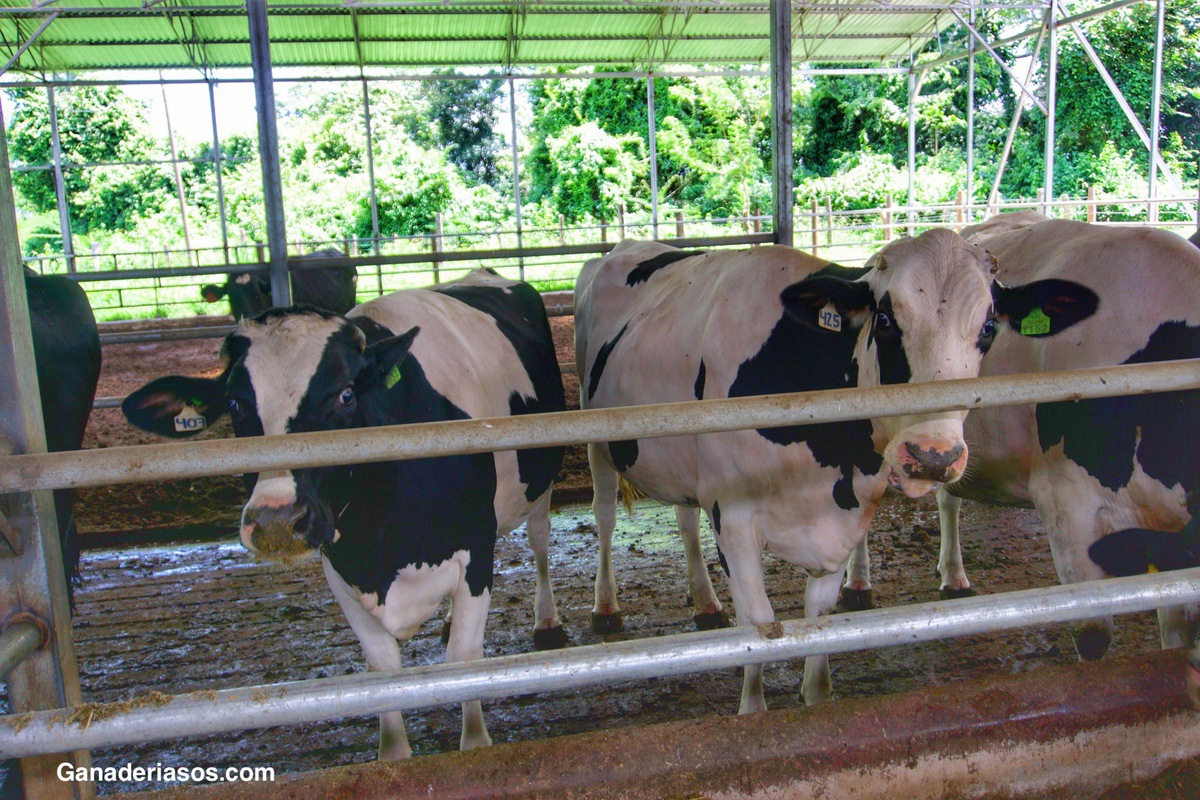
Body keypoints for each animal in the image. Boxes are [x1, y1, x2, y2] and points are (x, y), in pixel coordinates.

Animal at [122, 268, 568, 759]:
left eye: (347, 395)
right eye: (236, 405)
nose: (278, 521)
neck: (381, 541)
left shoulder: (475, 549)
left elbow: (465, 662)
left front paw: (475, 741)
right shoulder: (340, 567)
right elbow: (382, 669)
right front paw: (393, 754)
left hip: (541, 482)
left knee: (540, 541)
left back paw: (547, 620)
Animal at [574, 235, 1097, 714]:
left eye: (988, 327)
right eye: (884, 321)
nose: (932, 455)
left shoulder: (842, 522)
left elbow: (818, 619)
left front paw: (816, 696)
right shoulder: (734, 517)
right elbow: (759, 624)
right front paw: (752, 710)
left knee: (684, 520)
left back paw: (705, 602)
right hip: (594, 431)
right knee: (605, 515)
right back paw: (606, 608)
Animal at [843, 216, 1199, 666]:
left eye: (990, 327)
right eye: (885, 321)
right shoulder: (1066, 501)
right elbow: (1093, 637)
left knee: (949, 499)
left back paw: (954, 573)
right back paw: (857, 582)